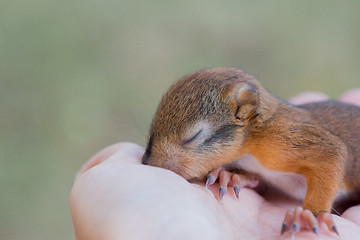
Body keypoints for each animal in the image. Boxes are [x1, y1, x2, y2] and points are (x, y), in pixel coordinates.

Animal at [141, 67, 360, 236]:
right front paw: (229, 175)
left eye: (194, 136)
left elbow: (333, 153)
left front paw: (310, 215)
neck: (249, 146)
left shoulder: (287, 138)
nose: (146, 161)